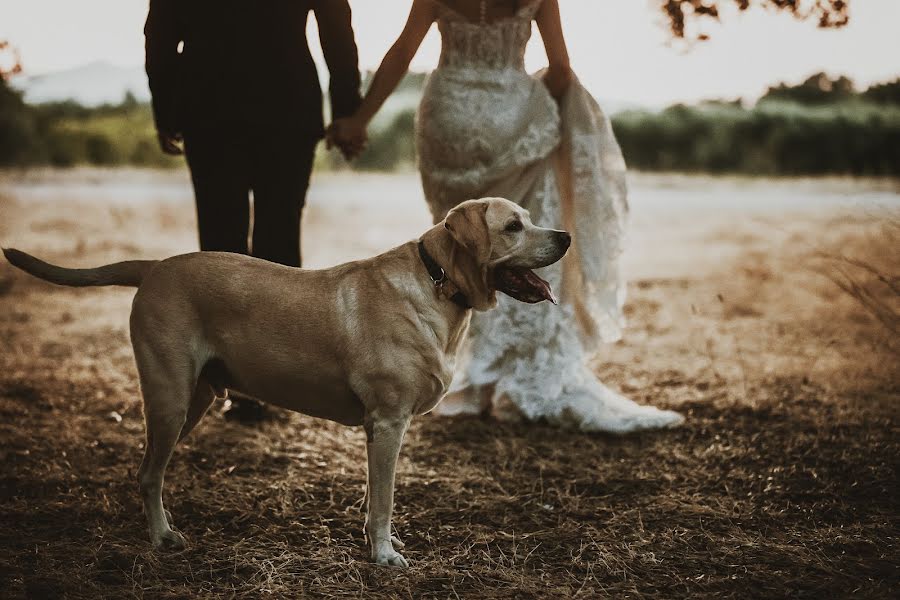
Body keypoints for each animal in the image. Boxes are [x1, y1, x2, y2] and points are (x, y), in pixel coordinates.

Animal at [3, 197, 568, 568]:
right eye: (514, 226)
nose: (565, 237)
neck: (438, 282)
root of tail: (155, 267)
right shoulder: (388, 423)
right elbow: (384, 498)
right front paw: (384, 555)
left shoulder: (379, 429)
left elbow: (374, 497)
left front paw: (376, 542)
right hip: (169, 399)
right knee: (148, 474)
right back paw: (163, 537)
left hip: (196, 399)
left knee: (148, 470)